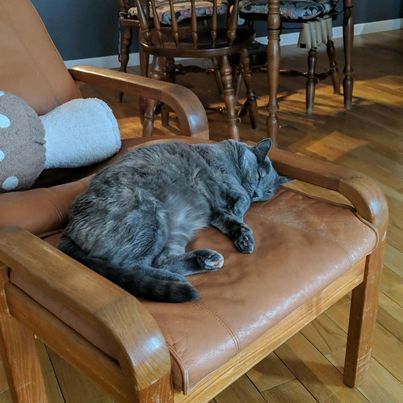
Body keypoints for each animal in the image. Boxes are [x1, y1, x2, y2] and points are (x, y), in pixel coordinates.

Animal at [59, 139, 288, 304]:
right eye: (258, 175)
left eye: (268, 192)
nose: (257, 193)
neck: (229, 156)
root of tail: (69, 227)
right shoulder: (221, 178)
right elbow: (240, 198)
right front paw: (241, 210)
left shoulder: (215, 211)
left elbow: (230, 220)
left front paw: (244, 239)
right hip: (148, 216)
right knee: (129, 264)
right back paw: (177, 280)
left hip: (176, 225)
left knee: (161, 259)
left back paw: (206, 259)